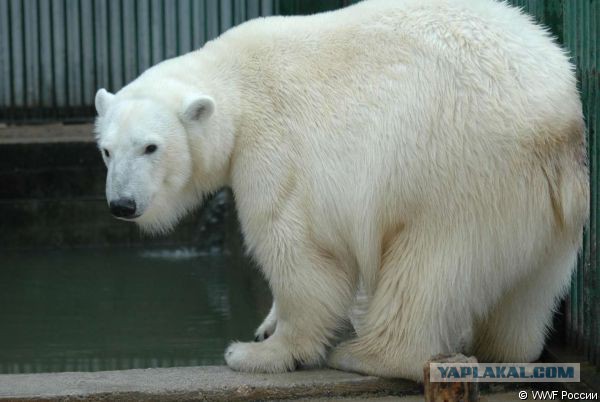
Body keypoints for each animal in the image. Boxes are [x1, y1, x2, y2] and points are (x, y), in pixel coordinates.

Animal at [94, 0, 584, 380]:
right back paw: (502, 349)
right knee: (529, 289)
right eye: (106, 150)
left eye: (151, 147)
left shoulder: (276, 150)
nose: (122, 204)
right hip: (545, 209)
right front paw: (265, 327)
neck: (236, 83)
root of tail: (559, 124)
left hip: (460, 171)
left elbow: (300, 254)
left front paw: (259, 353)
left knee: (429, 265)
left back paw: (366, 355)